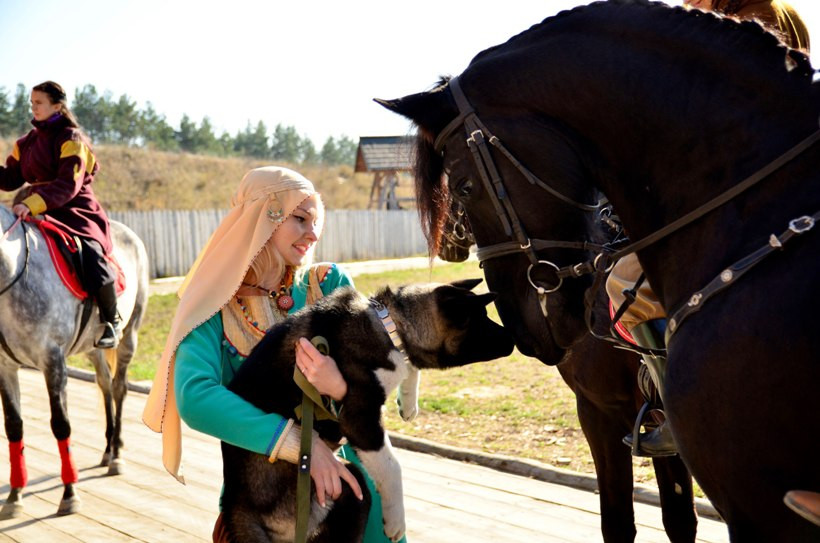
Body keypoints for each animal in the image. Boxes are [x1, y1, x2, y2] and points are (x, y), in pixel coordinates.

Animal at [0, 207, 149, 520]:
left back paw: (116, 454)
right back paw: (108, 448)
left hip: (130, 334)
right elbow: (14, 427)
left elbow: (61, 425)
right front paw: (15, 495)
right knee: (105, 384)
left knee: (119, 387)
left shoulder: (53, 360)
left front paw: (69, 494)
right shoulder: (4, 365)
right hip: (92, 348)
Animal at [219, 278, 512, 540]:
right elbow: (393, 468)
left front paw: (408, 402)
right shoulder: (360, 421)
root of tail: (236, 505)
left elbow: (410, 367)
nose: (513, 339)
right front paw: (396, 520)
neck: (390, 324)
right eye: (480, 321)